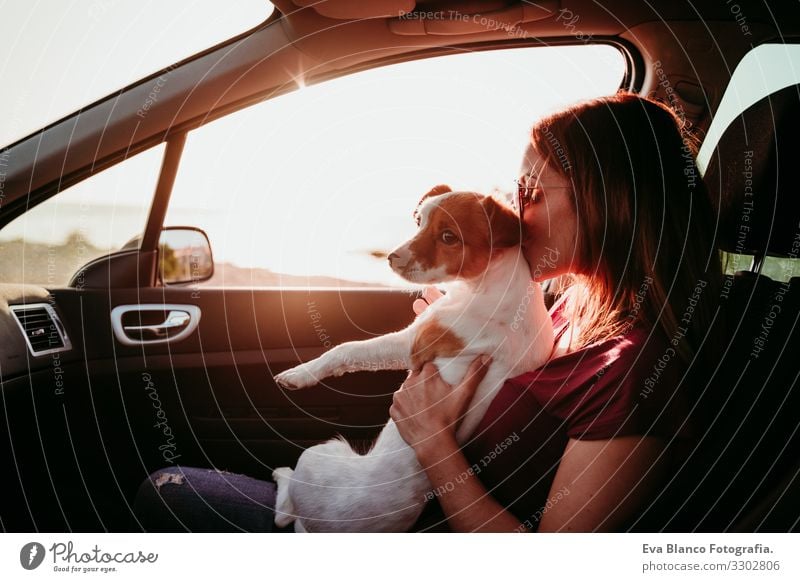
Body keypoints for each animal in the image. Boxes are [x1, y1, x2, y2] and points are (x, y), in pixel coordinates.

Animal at [272, 187, 552, 532]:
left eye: (448, 237)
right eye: (419, 221)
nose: (391, 257)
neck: (494, 285)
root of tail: (311, 525)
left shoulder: (413, 344)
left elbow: (346, 349)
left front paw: (299, 373)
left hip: (320, 453)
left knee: (283, 512)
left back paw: (282, 474)